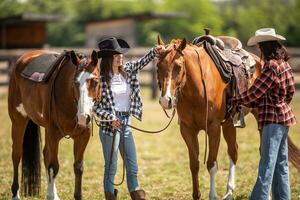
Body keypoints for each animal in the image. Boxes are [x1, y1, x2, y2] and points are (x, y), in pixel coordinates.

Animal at [7, 49, 99, 199]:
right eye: (75, 82)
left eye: (95, 81)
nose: (82, 117)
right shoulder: (53, 134)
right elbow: (54, 166)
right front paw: (50, 195)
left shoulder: (82, 136)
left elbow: (78, 167)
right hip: (18, 121)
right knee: (16, 155)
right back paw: (15, 194)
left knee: (45, 154)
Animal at [155, 37, 300, 198]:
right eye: (158, 66)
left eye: (178, 66)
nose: (165, 100)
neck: (197, 88)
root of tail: (259, 61)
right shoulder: (187, 130)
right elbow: (194, 164)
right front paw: (196, 195)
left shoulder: (213, 128)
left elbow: (212, 164)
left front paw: (212, 196)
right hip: (229, 124)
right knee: (233, 151)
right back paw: (229, 192)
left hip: (260, 119)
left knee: (264, 153)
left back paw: (266, 194)